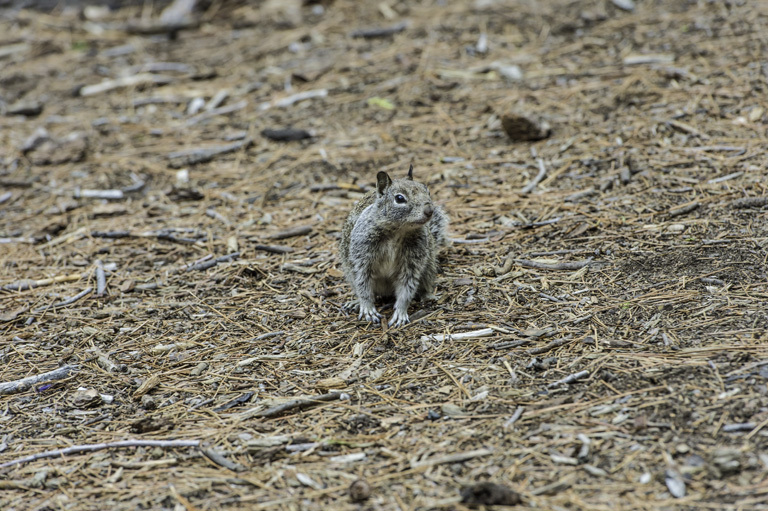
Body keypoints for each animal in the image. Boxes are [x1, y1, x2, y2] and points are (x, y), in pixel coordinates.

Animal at [338, 166, 450, 330]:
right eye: (399, 198)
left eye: (427, 191)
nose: (430, 210)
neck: (398, 231)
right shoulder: (362, 256)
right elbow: (363, 283)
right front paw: (367, 307)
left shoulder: (412, 262)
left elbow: (407, 288)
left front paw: (401, 313)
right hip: (349, 271)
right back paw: (356, 302)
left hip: (428, 266)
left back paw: (428, 296)